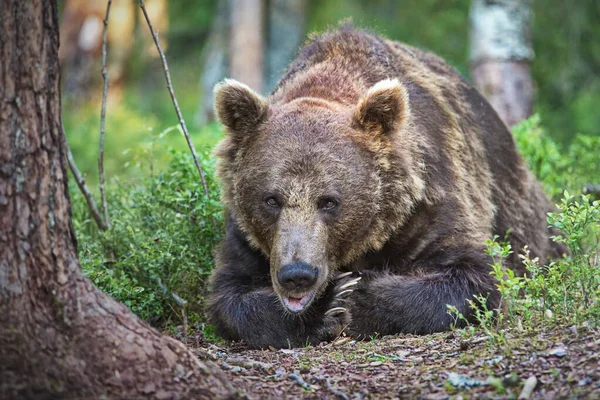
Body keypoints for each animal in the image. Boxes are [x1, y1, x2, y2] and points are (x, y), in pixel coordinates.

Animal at [205, 26, 564, 348]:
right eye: (271, 199)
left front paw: (351, 297)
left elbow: (476, 275)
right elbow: (229, 293)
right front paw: (324, 307)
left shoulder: (429, 197)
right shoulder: (246, 237)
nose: (297, 274)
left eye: (329, 201)